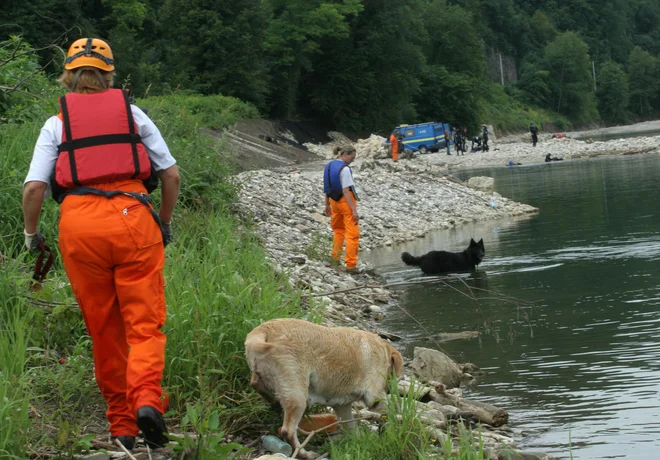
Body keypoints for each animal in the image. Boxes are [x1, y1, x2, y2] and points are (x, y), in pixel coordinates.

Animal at [246, 318, 404, 454]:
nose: (389, 388)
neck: (383, 350)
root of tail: (263, 331)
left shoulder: (342, 406)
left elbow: (352, 428)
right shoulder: (374, 397)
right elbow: (389, 409)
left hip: (266, 377)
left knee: (255, 383)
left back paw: (273, 402)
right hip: (297, 394)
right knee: (288, 431)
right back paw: (305, 454)